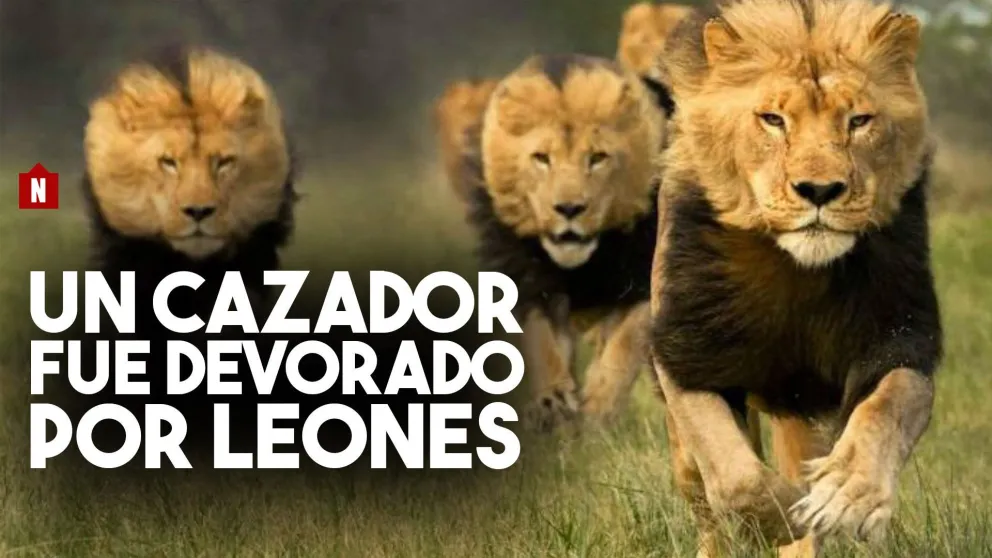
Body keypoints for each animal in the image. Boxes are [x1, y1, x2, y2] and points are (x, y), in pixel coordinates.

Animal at [436, 54, 668, 428]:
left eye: (597, 157)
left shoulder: (646, 275)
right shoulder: (527, 277)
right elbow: (541, 342)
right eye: (542, 158)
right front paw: (552, 402)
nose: (569, 208)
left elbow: (625, 343)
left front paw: (599, 408)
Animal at [649, 1, 941, 556]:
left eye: (859, 120)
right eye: (773, 120)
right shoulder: (686, 351)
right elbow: (737, 477)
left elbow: (885, 408)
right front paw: (781, 516)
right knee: (705, 502)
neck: (797, 272)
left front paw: (848, 495)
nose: (820, 190)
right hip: (685, 451)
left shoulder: (899, 336)